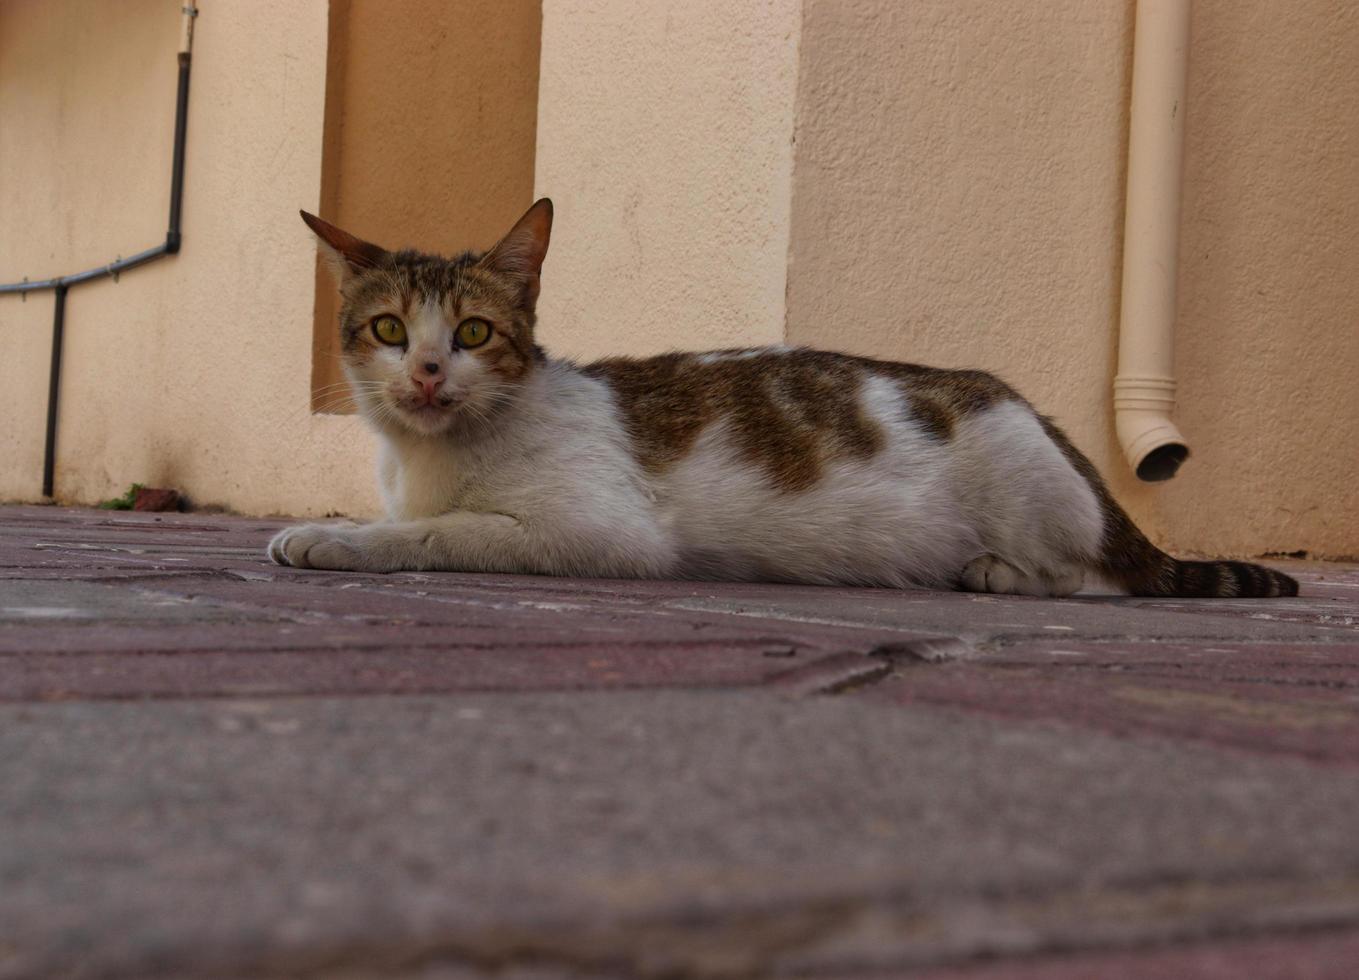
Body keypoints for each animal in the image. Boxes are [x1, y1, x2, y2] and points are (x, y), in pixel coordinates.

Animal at [265, 198, 1293, 595]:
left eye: (474, 334)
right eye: (388, 330)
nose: (428, 372)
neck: (430, 459)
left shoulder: (598, 530)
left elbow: (436, 533)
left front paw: (333, 537)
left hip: (1030, 486)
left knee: (1098, 577)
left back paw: (998, 572)